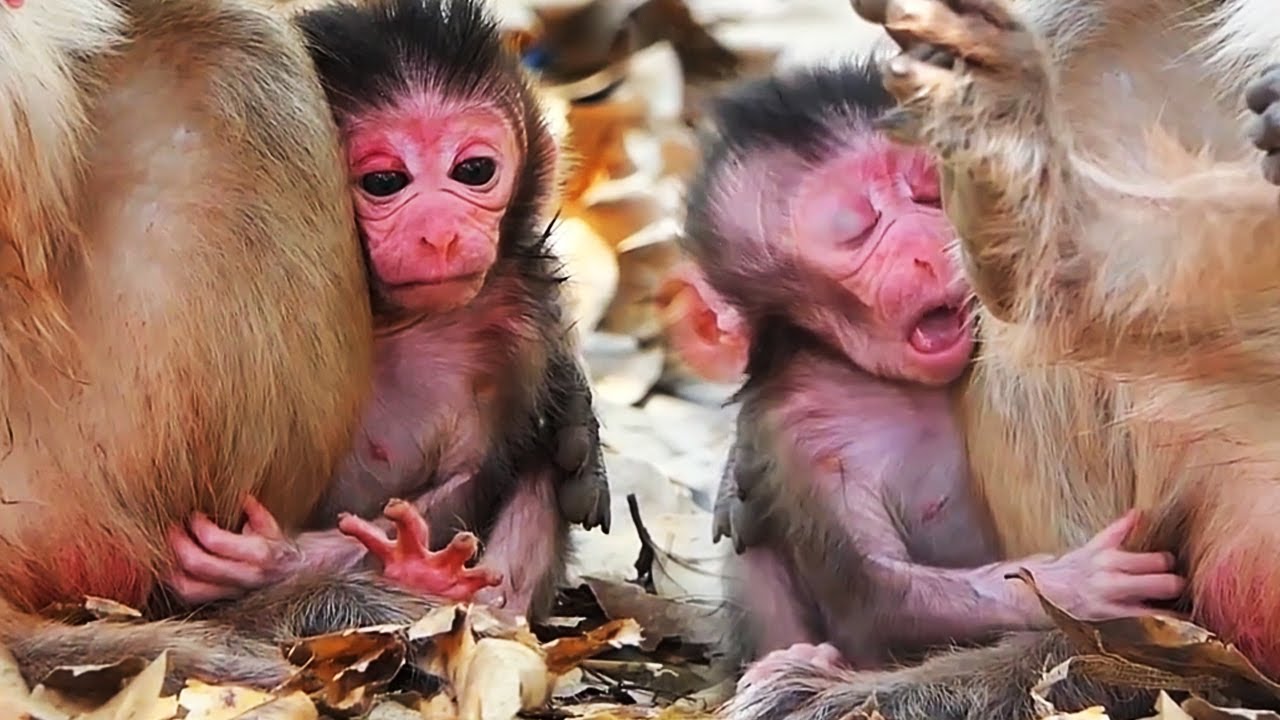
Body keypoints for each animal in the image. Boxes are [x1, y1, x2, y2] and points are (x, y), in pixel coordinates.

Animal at [161, 0, 611, 623]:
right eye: (383, 181)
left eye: (473, 171)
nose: (440, 234)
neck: (392, 317)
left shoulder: (517, 320)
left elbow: (474, 476)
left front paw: (276, 559)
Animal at [672, 62, 1183, 675]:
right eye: (856, 228)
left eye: (925, 191)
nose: (928, 243)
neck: (892, 382)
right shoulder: (802, 433)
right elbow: (881, 604)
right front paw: (1073, 587)